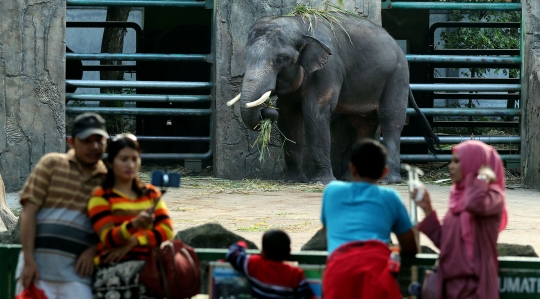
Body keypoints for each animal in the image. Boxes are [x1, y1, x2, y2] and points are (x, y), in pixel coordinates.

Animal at [228, 14, 438, 184]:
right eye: (245, 56)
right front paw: (293, 180)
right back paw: (352, 178)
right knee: (363, 125)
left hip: (397, 76)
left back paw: (389, 180)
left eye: (281, 59)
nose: (267, 110)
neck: (301, 25)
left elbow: (314, 112)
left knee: (390, 120)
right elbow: (288, 115)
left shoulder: (329, 69)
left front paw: (321, 182)